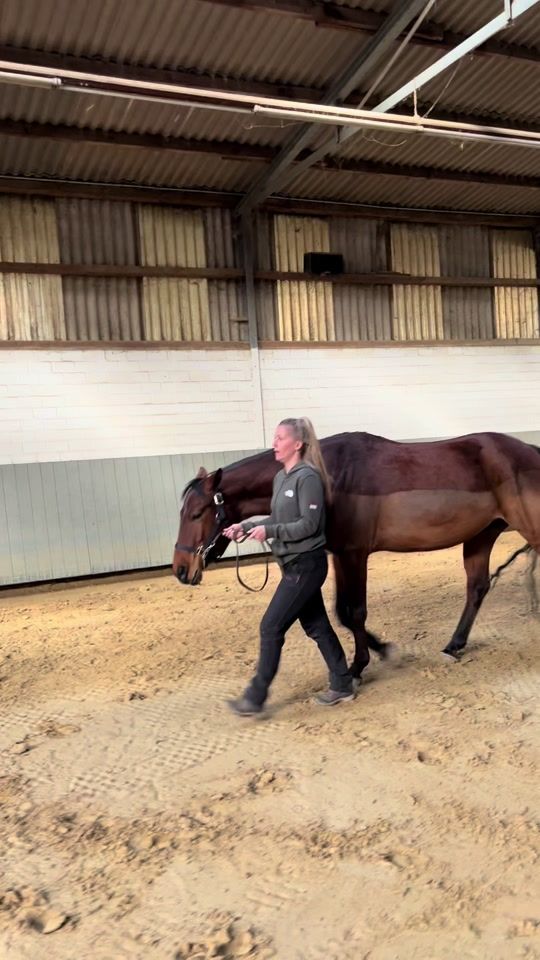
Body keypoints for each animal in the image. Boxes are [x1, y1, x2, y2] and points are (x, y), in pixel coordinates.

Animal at [173, 431, 540, 679]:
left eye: (196, 513)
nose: (181, 569)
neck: (330, 474)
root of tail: (530, 451)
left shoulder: (355, 554)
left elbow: (357, 612)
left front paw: (358, 665)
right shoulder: (339, 555)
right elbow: (342, 613)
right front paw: (380, 649)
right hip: (481, 535)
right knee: (477, 588)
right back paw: (454, 645)